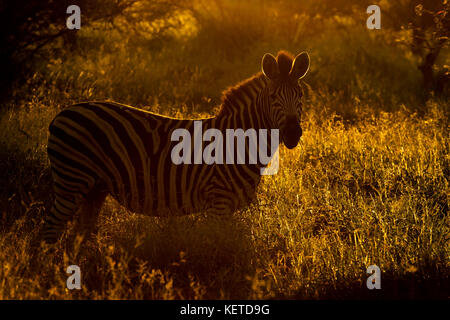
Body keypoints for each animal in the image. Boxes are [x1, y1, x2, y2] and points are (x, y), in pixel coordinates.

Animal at [42, 51, 310, 244]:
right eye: (273, 96)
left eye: (300, 95)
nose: (292, 133)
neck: (241, 141)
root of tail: (61, 114)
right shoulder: (219, 201)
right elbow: (218, 246)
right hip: (72, 178)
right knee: (50, 230)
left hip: (95, 187)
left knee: (79, 234)